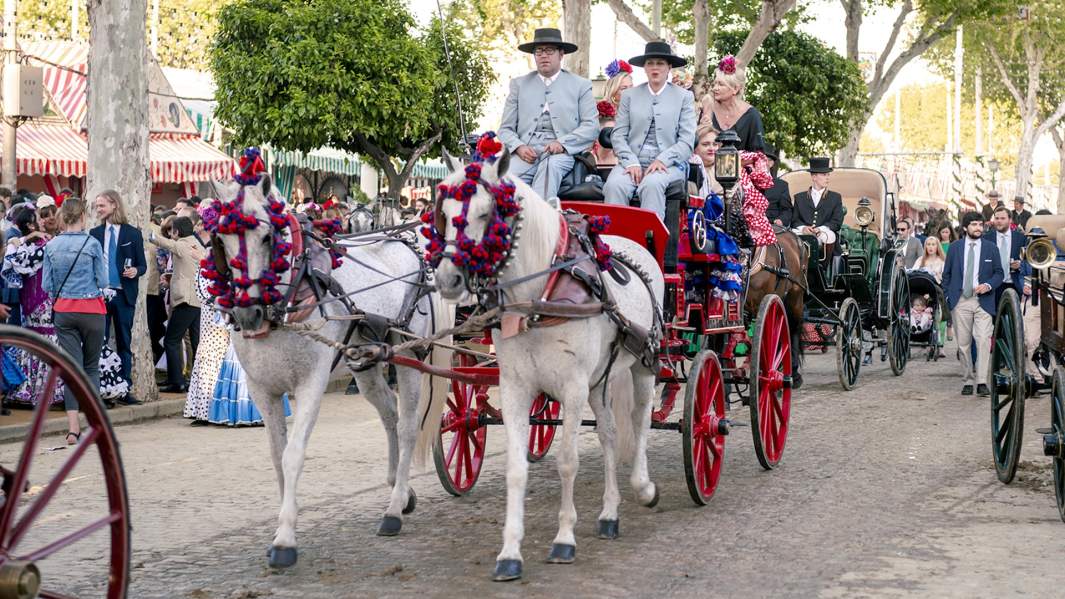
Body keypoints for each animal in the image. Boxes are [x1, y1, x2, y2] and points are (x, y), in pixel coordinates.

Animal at [209, 174, 451, 567]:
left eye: (267, 236)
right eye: (221, 239)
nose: (248, 313)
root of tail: (413, 246)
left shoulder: (311, 383)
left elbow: (293, 454)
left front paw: (285, 541)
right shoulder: (262, 389)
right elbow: (277, 457)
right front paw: (282, 526)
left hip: (410, 353)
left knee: (407, 424)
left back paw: (394, 507)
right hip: (366, 363)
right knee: (389, 413)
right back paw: (400, 491)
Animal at [426, 147, 664, 579]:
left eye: (485, 213)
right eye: (445, 213)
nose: (448, 279)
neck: (539, 296)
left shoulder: (572, 387)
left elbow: (567, 462)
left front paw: (564, 539)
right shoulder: (517, 387)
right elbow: (516, 468)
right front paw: (509, 552)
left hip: (642, 363)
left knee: (639, 423)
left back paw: (643, 486)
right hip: (599, 381)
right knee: (608, 433)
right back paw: (609, 514)